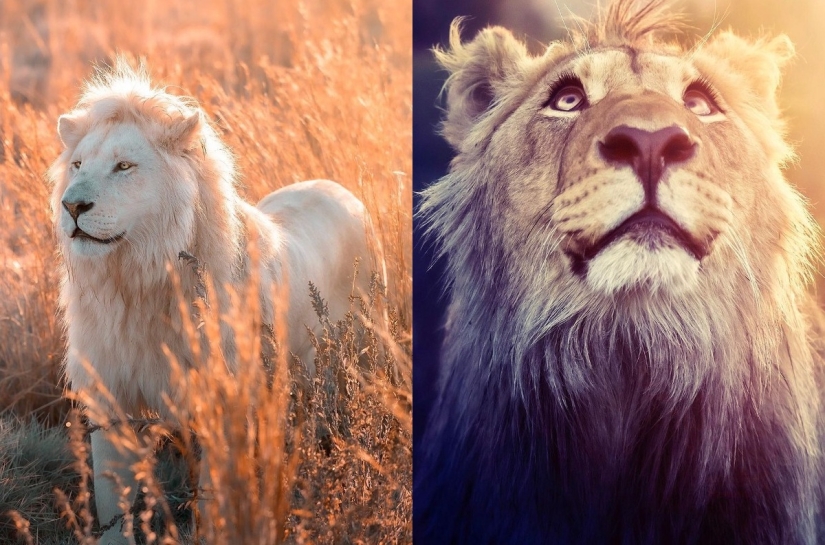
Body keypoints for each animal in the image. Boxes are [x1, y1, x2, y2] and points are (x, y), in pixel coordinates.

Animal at [49, 61, 375, 544]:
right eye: (76, 165)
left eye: (124, 166)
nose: (72, 206)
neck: (138, 283)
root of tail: (339, 189)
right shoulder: (110, 398)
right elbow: (112, 499)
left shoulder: (224, 403)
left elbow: (212, 497)